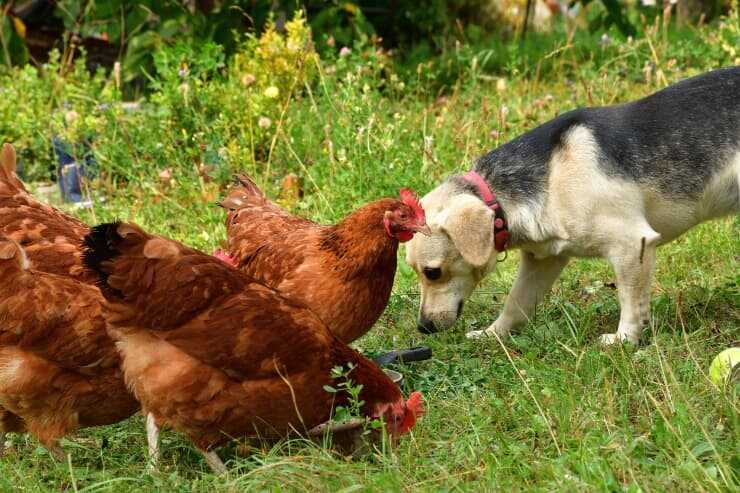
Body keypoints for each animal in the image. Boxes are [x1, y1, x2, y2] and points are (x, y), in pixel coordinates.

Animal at [408, 66, 736, 342]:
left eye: (432, 272)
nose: (423, 327)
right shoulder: (541, 262)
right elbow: (516, 303)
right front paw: (494, 334)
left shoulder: (632, 245)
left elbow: (630, 302)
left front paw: (623, 340)